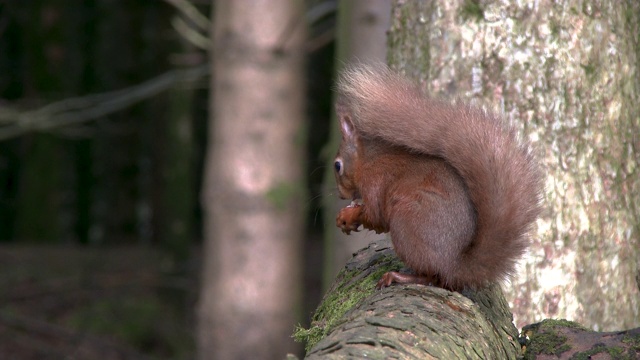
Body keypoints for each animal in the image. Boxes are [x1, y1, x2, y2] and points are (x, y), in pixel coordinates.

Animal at [332, 64, 544, 290]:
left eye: (337, 166)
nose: (341, 195)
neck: (367, 160)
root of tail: (454, 265)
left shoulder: (374, 182)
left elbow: (374, 216)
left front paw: (348, 216)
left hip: (407, 223)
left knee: (432, 276)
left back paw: (397, 276)